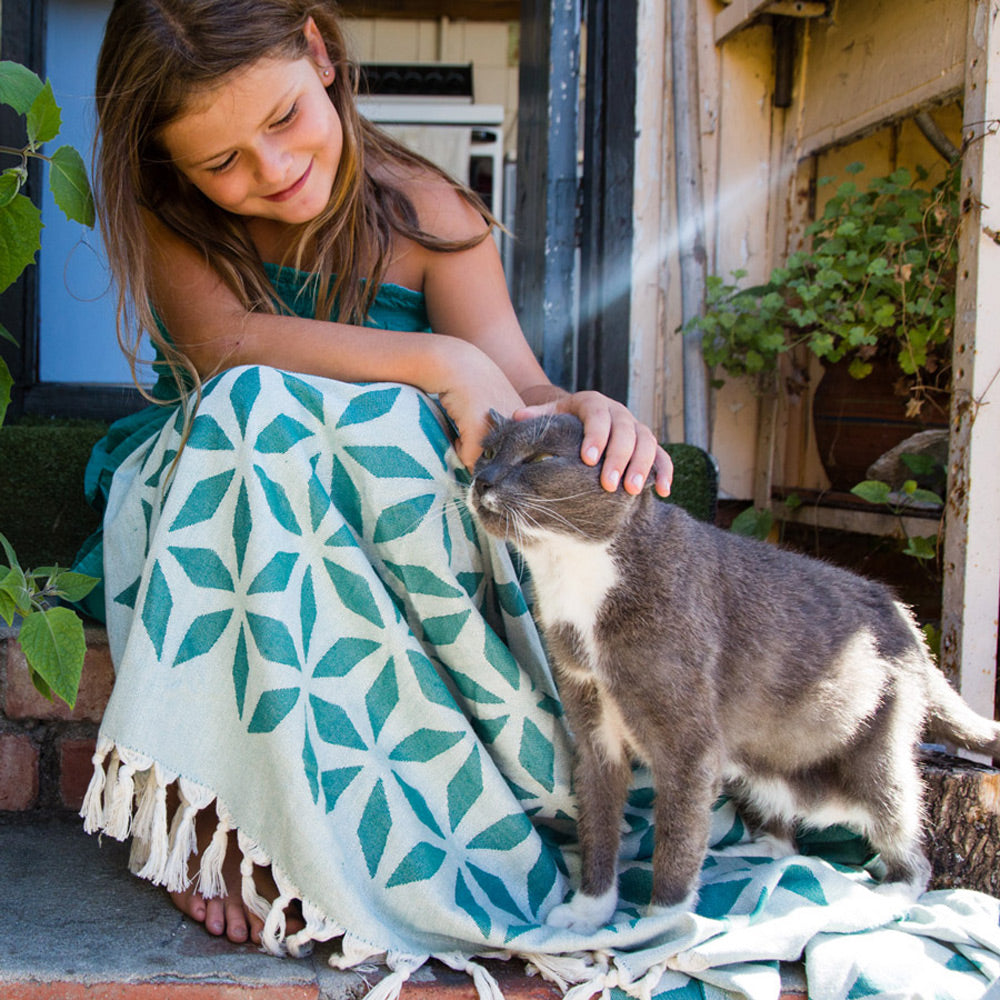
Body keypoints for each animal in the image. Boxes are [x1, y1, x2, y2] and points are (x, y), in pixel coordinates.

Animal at [468, 410, 1000, 932]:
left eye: (541, 459)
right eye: (488, 451)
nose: (481, 479)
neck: (578, 586)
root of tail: (907, 620)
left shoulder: (690, 745)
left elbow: (678, 834)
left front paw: (662, 924)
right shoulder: (594, 732)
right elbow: (598, 826)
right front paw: (588, 912)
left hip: (876, 751)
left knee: (903, 832)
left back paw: (884, 896)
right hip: (752, 755)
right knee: (786, 835)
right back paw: (750, 851)